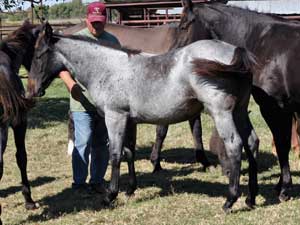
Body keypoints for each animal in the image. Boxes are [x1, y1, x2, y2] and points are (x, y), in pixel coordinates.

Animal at [27, 23, 258, 213]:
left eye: (38, 55)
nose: (32, 90)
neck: (108, 69)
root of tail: (235, 51)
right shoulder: (129, 120)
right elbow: (129, 152)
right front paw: (130, 189)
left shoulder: (115, 117)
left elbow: (115, 154)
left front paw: (110, 196)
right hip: (239, 111)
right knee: (251, 142)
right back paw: (251, 198)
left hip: (221, 113)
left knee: (235, 146)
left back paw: (230, 200)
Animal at [179, 0, 300, 207]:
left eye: (184, 26)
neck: (262, 42)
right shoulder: (284, 109)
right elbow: (282, 143)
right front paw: (280, 185)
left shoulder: (273, 108)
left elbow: (281, 145)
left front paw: (284, 189)